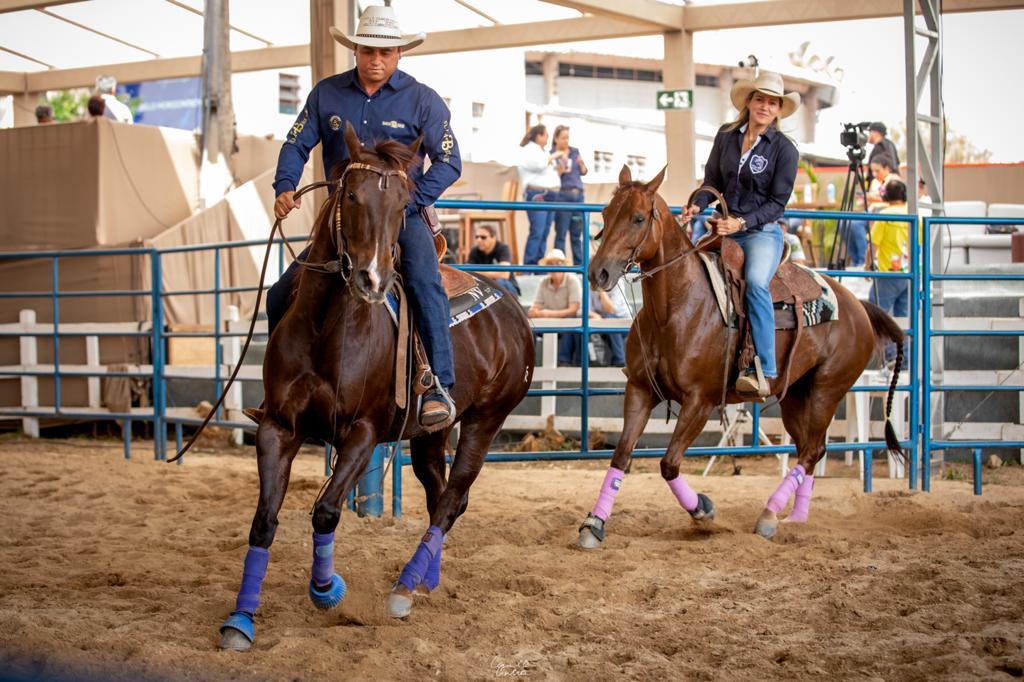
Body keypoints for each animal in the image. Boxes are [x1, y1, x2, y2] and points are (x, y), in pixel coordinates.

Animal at [217, 122, 536, 647]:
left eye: (404, 202)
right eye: (350, 194)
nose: (372, 278)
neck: (329, 326)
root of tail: (513, 306)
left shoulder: (362, 433)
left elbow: (327, 510)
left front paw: (327, 591)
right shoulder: (278, 428)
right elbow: (263, 521)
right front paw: (240, 619)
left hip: (487, 420)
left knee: (452, 498)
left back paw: (404, 589)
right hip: (430, 434)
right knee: (440, 495)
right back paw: (425, 578)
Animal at [577, 165, 905, 548]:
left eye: (638, 217)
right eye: (605, 213)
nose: (598, 273)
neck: (676, 307)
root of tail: (859, 306)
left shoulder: (700, 401)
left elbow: (669, 463)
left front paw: (703, 509)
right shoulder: (640, 390)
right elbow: (621, 456)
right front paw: (594, 524)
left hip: (828, 389)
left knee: (810, 451)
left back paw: (769, 516)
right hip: (796, 395)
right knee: (813, 449)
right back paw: (795, 518)